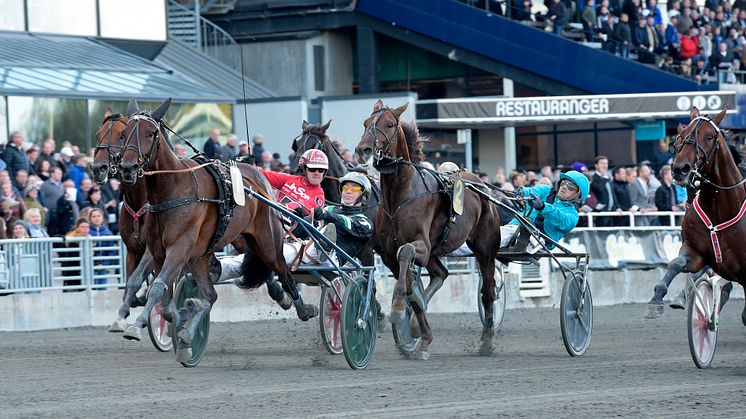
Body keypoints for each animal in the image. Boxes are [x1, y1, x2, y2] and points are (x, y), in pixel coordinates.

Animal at [117, 98, 316, 358]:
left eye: (151, 133)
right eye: (123, 134)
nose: (127, 168)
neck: (173, 190)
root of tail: (258, 176)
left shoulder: (179, 248)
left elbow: (158, 287)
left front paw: (138, 324)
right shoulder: (159, 252)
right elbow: (164, 299)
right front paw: (180, 314)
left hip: (268, 243)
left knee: (284, 272)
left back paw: (302, 307)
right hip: (203, 254)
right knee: (211, 294)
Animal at [354, 100, 500, 360]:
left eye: (389, 124)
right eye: (365, 123)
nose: (364, 149)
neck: (400, 195)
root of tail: (481, 184)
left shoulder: (420, 245)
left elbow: (406, 255)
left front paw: (398, 310)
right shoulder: (388, 255)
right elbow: (411, 288)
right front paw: (420, 336)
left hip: (485, 249)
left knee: (488, 292)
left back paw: (486, 341)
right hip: (435, 253)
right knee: (441, 273)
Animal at [644, 106, 740, 324]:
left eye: (710, 136)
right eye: (678, 139)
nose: (680, 169)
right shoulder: (698, 251)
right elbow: (677, 263)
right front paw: (658, 298)